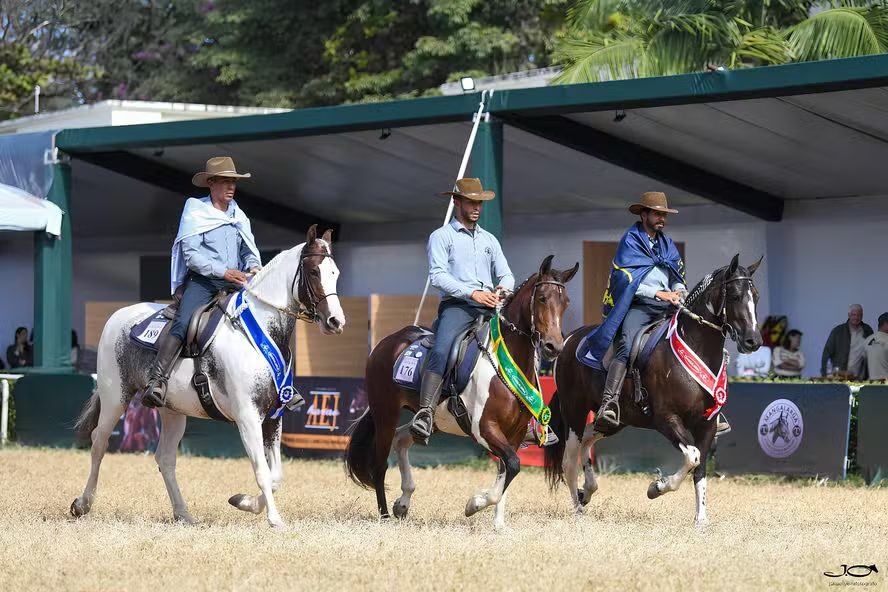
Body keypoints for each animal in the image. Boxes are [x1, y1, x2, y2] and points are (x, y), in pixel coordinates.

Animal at [70, 224, 345, 528]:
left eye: (336, 273)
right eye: (314, 272)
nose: (336, 321)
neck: (258, 330)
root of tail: (118, 315)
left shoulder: (273, 417)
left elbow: (276, 476)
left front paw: (244, 502)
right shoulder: (247, 416)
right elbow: (262, 471)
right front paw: (274, 520)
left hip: (172, 410)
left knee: (165, 458)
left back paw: (183, 514)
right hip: (115, 398)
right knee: (99, 442)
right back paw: (82, 504)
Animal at [345, 255, 578, 530]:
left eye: (565, 302)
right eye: (542, 298)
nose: (554, 347)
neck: (504, 359)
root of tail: (386, 343)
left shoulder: (516, 434)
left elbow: (508, 472)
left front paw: (498, 524)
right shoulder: (484, 428)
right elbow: (512, 465)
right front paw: (474, 504)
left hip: (430, 420)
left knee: (402, 438)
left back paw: (403, 502)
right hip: (385, 415)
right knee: (380, 464)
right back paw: (384, 516)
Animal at [544, 254, 762, 525]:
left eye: (756, 296)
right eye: (734, 295)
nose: (753, 341)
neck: (693, 346)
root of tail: (569, 339)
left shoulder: (707, 425)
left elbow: (700, 468)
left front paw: (701, 520)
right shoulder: (666, 419)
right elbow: (692, 456)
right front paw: (657, 487)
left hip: (615, 421)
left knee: (587, 439)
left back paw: (588, 490)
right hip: (573, 410)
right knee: (569, 460)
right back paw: (578, 510)